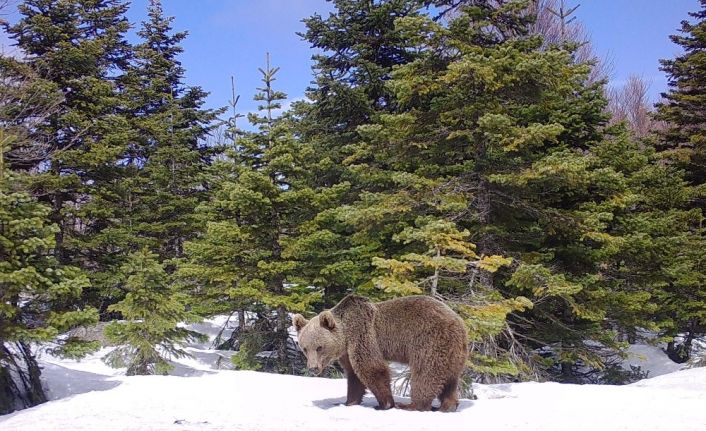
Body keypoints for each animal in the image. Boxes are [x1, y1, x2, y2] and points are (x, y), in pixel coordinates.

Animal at [292, 296, 468, 414]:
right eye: (305, 348)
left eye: (319, 347)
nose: (313, 368)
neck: (346, 336)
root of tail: (460, 323)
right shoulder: (347, 352)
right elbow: (354, 376)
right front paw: (348, 402)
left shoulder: (362, 334)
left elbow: (371, 368)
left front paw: (385, 404)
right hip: (453, 354)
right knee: (450, 380)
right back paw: (448, 405)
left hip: (430, 342)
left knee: (425, 374)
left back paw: (412, 405)